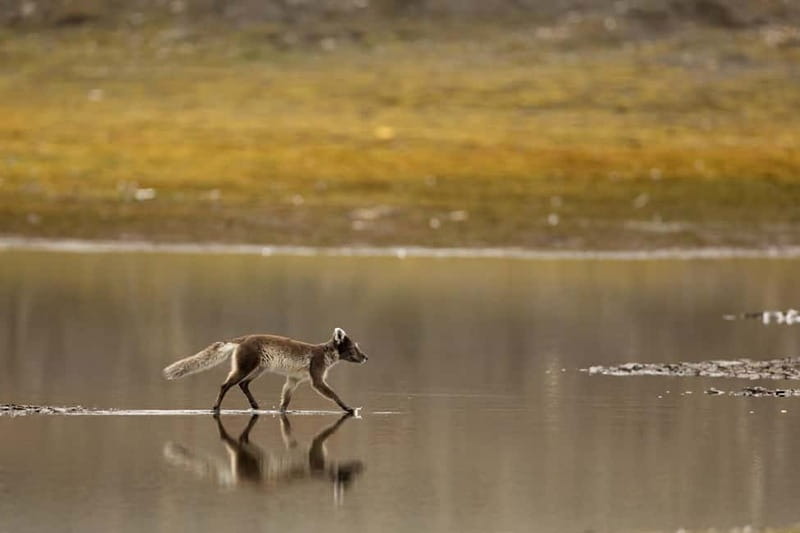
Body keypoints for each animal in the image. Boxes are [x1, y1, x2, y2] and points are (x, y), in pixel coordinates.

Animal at [162, 327, 368, 414]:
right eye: (353, 349)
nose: (366, 357)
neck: (326, 353)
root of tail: (243, 338)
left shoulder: (293, 379)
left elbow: (286, 397)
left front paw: (283, 411)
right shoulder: (316, 373)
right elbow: (332, 393)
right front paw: (348, 408)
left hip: (259, 368)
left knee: (243, 384)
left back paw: (255, 406)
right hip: (246, 365)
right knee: (226, 384)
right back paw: (216, 407)